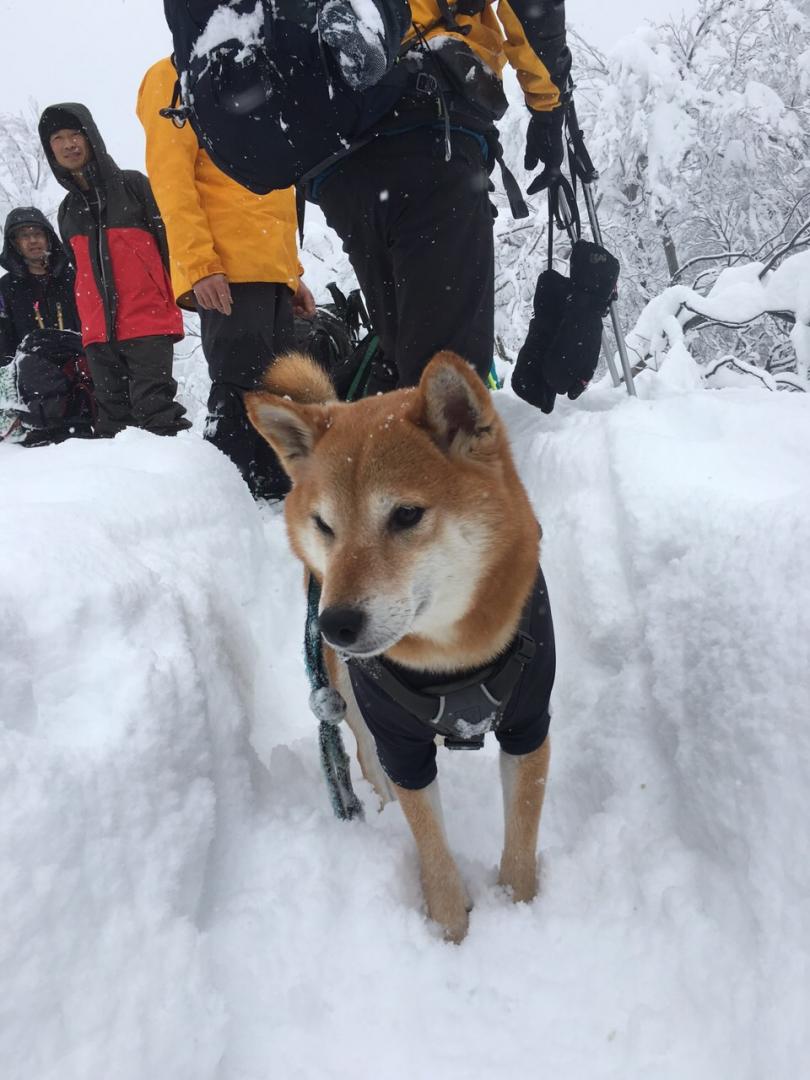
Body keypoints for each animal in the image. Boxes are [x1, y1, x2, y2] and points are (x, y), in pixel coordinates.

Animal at [246, 349, 557, 941]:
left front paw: (520, 904)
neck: (454, 658)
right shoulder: (401, 745)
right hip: (343, 686)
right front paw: (451, 928)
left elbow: (524, 828)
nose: (336, 624)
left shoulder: (528, 725)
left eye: (406, 515)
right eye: (325, 525)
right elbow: (430, 843)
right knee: (364, 750)